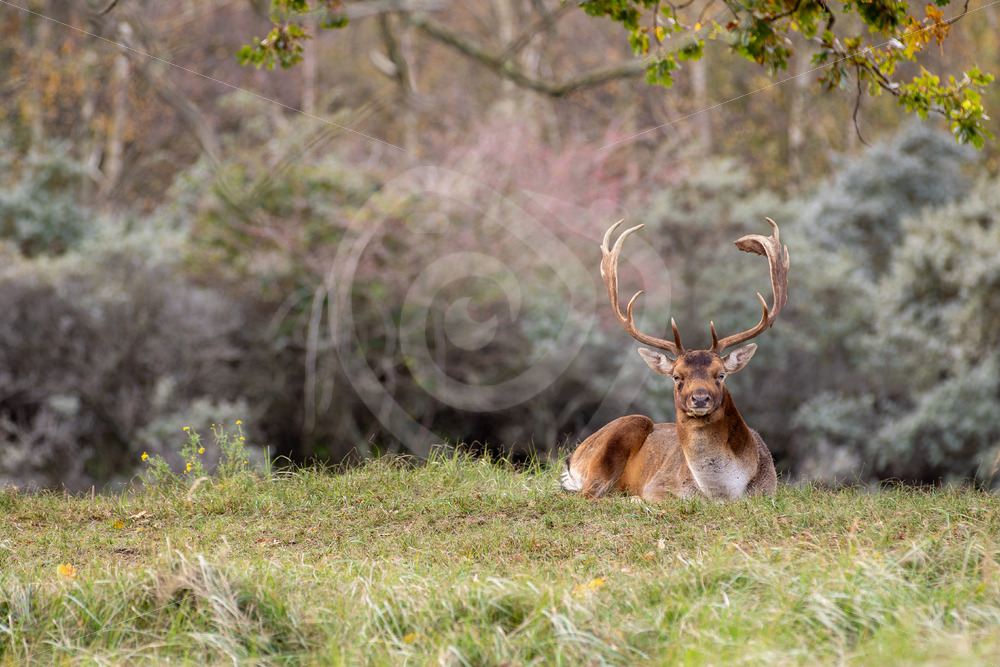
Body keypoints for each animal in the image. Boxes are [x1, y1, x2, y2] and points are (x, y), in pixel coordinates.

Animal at [560, 218, 789, 501]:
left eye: (721, 374)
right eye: (677, 376)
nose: (700, 399)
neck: (721, 493)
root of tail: (572, 458)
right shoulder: (658, 487)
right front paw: (635, 499)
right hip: (624, 431)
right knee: (589, 493)